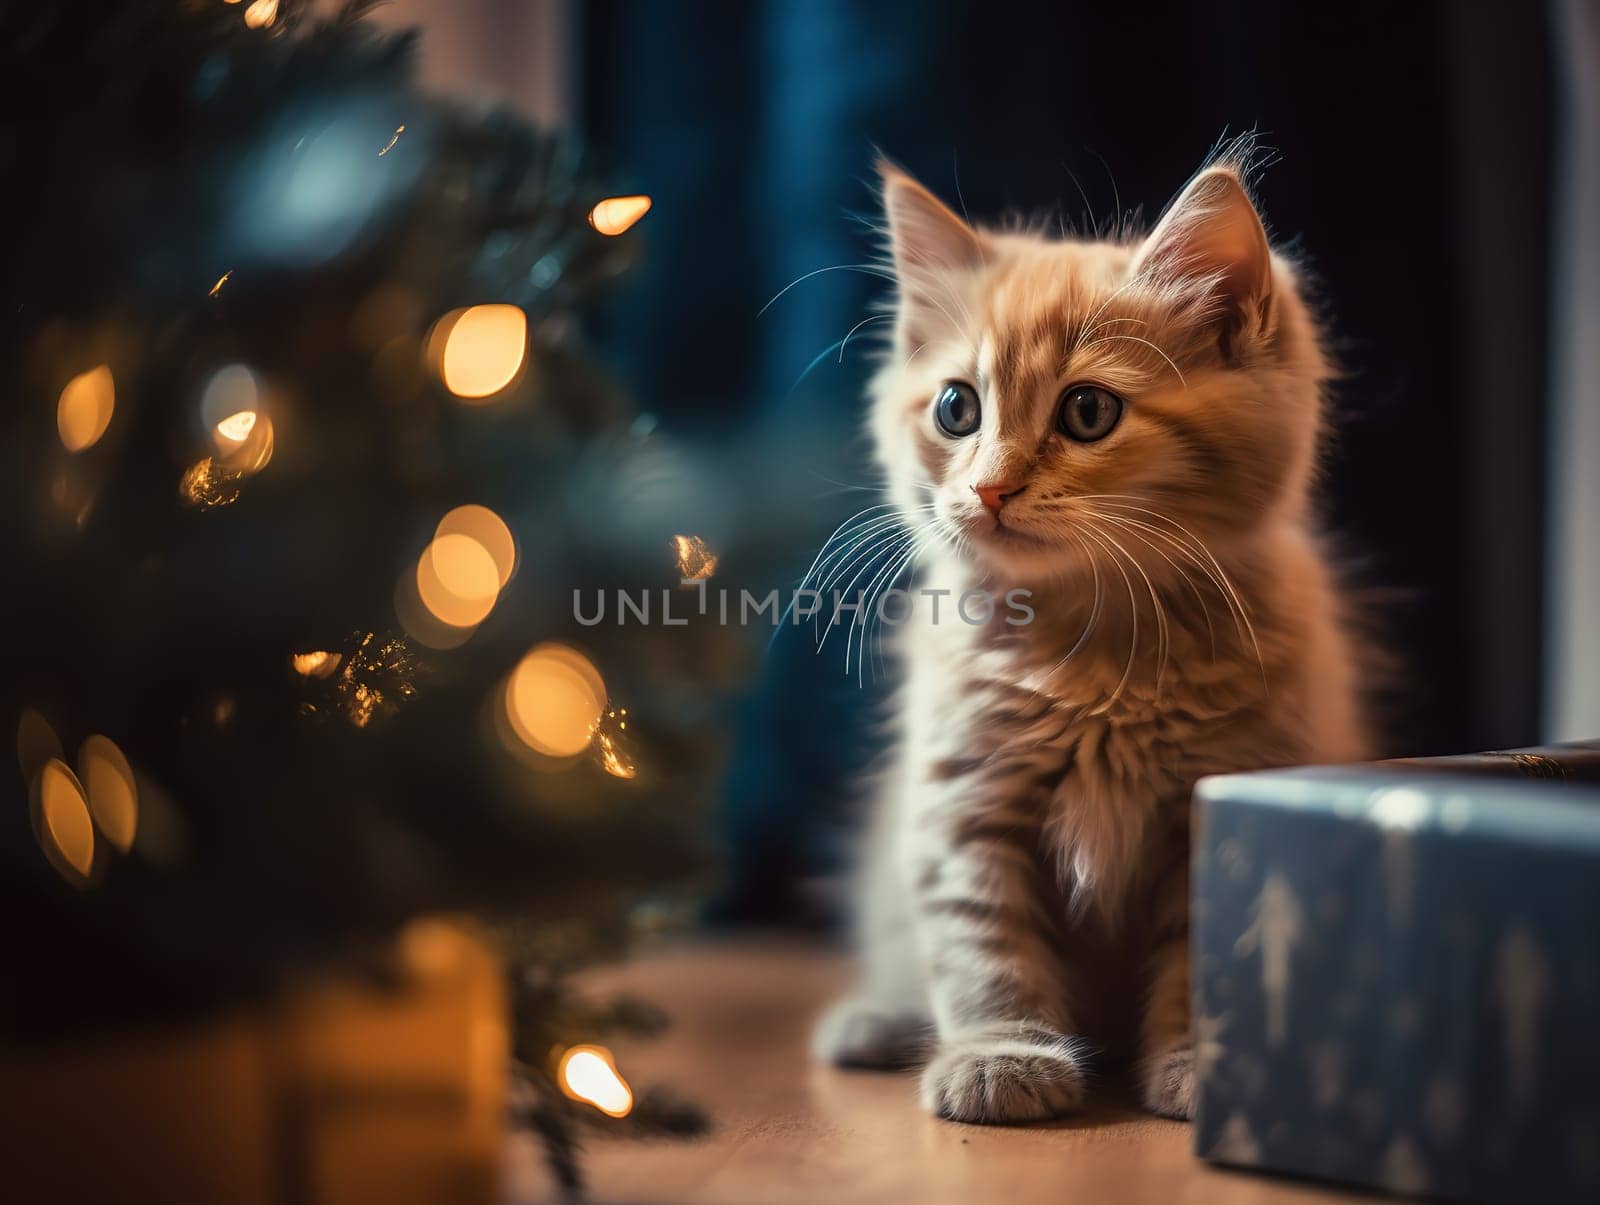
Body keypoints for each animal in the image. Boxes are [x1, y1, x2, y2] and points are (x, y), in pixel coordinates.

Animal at [812, 148, 1376, 1120]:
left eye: (1087, 412)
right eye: (957, 409)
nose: (990, 488)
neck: (1092, 652)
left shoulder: (1212, 813)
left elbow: (1200, 958)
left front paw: (1196, 1064)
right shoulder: (965, 809)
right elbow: (986, 950)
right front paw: (1001, 1055)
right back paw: (873, 1022)